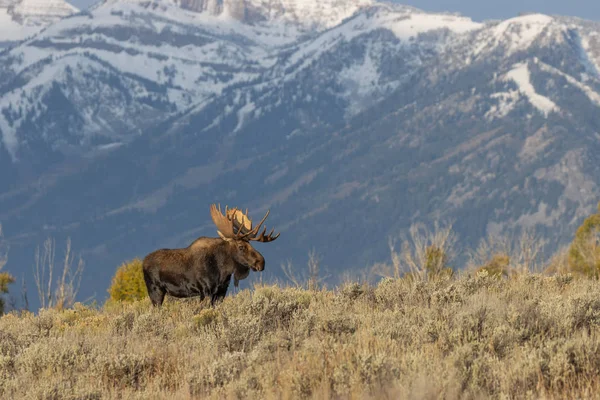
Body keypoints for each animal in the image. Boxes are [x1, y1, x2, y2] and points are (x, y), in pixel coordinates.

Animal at [142, 205, 278, 308]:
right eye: (241, 246)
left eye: (250, 244)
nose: (261, 262)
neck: (223, 270)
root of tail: (143, 263)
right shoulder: (205, 290)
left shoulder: (221, 292)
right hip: (155, 290)